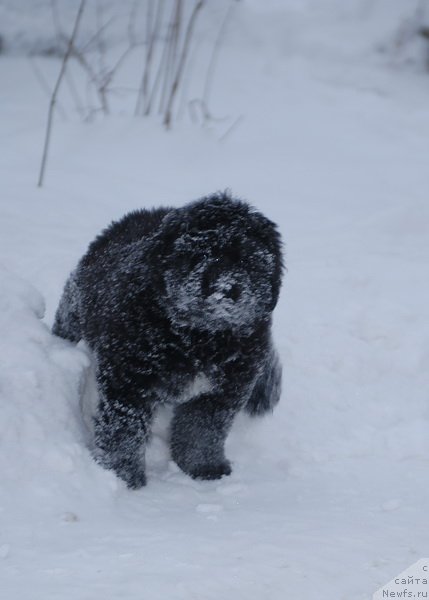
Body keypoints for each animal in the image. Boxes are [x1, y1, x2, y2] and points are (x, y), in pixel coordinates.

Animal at [52, 192, 280, 488]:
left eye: (246, 258)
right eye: (198, 254)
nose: (224, 288)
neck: (200, 338)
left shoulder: (221, 391)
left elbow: (203, 431)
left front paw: (203, 468)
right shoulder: (128, 382)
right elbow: (124, 431)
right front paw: (122, 477)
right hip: (76, 303)